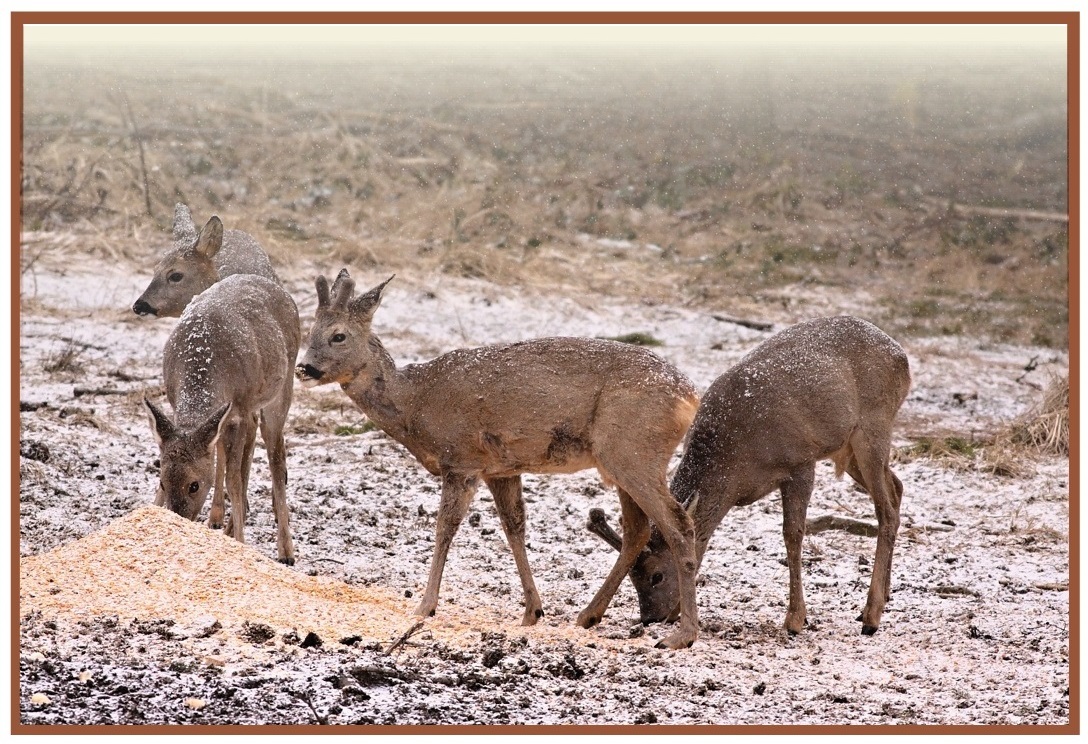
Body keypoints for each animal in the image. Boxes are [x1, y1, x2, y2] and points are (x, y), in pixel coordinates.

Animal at [143, 273, 302, 565]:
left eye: (194, 486)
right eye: (162, 482)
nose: (178, 519)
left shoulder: (240, 409)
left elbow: (235, 479)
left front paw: (241, 541)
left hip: (280, 390)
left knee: (275, 456)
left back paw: (285, 550)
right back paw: (221, 522)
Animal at [295, 269, 705, 648]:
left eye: (338, 335)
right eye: (309, 330)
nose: (304, 368)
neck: (415, 403)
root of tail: (690, 396)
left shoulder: (461, 459)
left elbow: (445, 528)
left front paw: (425, 606)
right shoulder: (501, 468)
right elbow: (514, 528)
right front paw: (532, 612)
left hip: (634, 453)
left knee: (679, 524)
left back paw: (681, 635)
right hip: (621, 461)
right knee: (638, 531)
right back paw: (588, 615)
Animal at [587, 317, 909, 635]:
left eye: (657, 576)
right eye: (633, 578)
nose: (650, 618)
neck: (737, 466)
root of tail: (900, 354)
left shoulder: (800, 462)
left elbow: (792, 535)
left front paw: (795, 620)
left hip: (873, 426)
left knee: (885, 509)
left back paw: (871, 616)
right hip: (849, 448)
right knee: (897, 487)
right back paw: (884, 597)